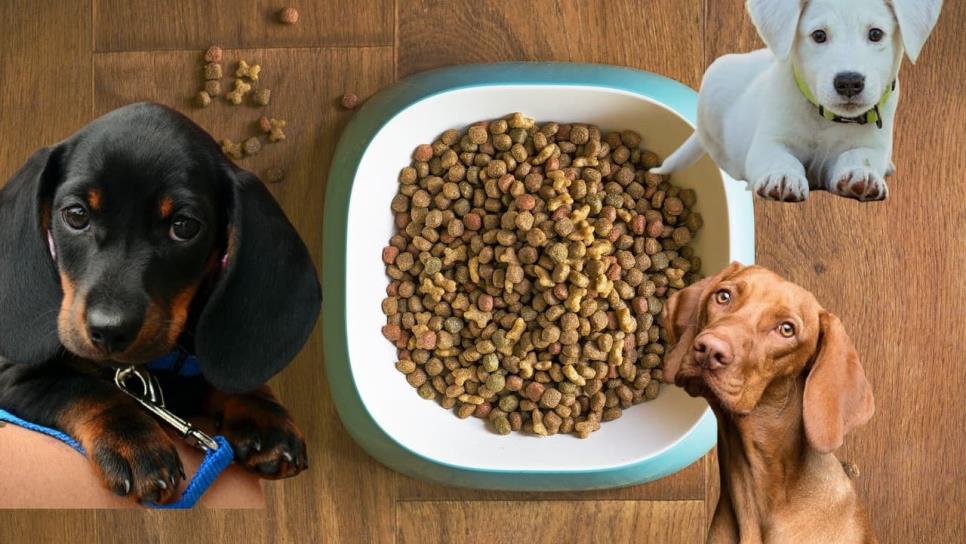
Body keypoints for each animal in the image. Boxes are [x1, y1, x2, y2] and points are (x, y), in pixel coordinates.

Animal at [0, 103, 324, 506]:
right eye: (76, 215)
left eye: (184, 226)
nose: (109, 331)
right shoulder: (15, 375)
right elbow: (83, 388)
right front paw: (134, 441)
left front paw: (262, 410)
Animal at [656, 0, 940, 202]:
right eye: (819, 35)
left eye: (876, 34)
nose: (849, 82)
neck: (827, 118)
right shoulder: (768, 143)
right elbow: (782, 158)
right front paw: (782, 177)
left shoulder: (873, 145)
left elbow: (860, 155)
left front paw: (862, 175)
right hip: (714, 86)